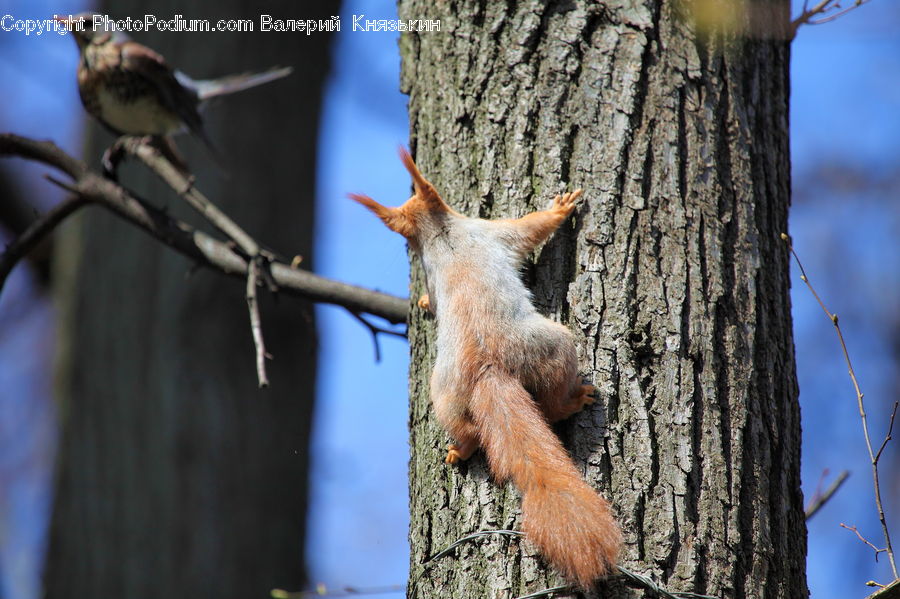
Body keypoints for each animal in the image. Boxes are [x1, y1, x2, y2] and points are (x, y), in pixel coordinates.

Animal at [350, 149, 622, 588]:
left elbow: (433, 296)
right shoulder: (493, 232)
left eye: (405, 236)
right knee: (552, 398)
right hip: (553, 345)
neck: (441, 233)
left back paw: (458, 450)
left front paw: (424, 302)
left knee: (466, 429)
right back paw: (573, 400)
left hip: (443, 393)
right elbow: (530, 228)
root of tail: (489, 367)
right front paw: (560, 208)